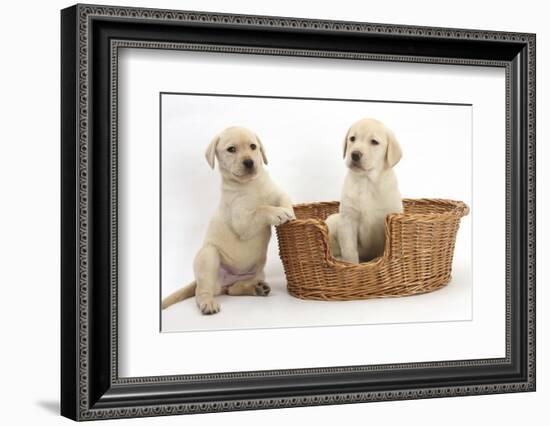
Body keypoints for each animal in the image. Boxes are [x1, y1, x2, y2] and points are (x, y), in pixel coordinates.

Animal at [162, 125, 296, 312]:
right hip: (208, 256)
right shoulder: (242, 221)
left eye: (253, 147)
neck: (250, 184)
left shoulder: (276, 192)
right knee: (201, 291)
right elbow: (261, 209)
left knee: (233, 290)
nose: (249, 162)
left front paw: (291, 213)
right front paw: (278, 213)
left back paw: (256, 288)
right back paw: (208, 303)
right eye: (231, 149)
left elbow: (284, 199)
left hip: (257, 272)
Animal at [328, 117, 406, 262]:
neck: (366, 181)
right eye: (352, 138)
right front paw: (351, 264)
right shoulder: (348, 220)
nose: (355, 154)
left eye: (374, 142)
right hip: (333, 221)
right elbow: (349, 251)